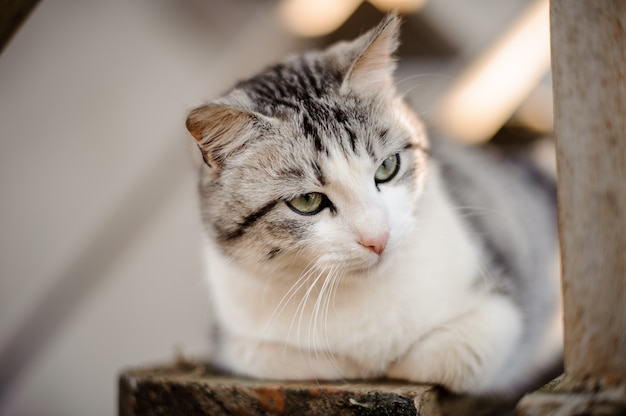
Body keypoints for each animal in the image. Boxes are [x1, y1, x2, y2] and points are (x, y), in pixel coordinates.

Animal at [185, 13, 560, 396]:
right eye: (307, 201)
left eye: (387, 167)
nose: (377, 239)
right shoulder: (238, 343)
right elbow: (311, 360)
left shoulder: (505, 309)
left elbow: (450, 355)